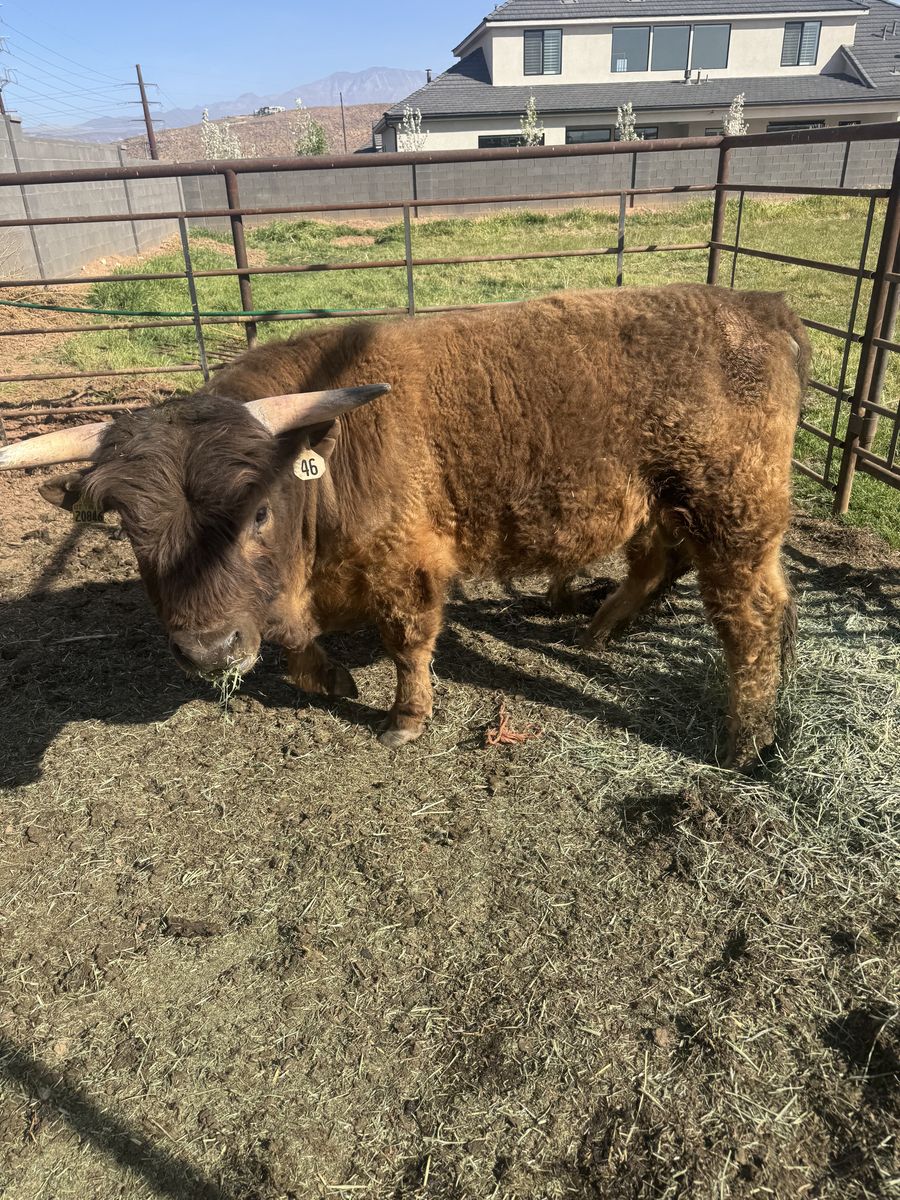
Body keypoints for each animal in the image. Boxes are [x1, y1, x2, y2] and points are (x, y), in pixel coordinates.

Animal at [0, 285, 809, 767]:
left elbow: (407, 642)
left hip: (734, 512)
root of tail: (760, 305)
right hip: (665, 505)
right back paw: (600, 629)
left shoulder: (406, 564)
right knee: (664, 563)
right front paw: (328, 677)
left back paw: (745, 737)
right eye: (132, 534)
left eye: (257, 511)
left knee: (751, 613)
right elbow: (295, 642)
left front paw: (406, 717)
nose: (209, 650)